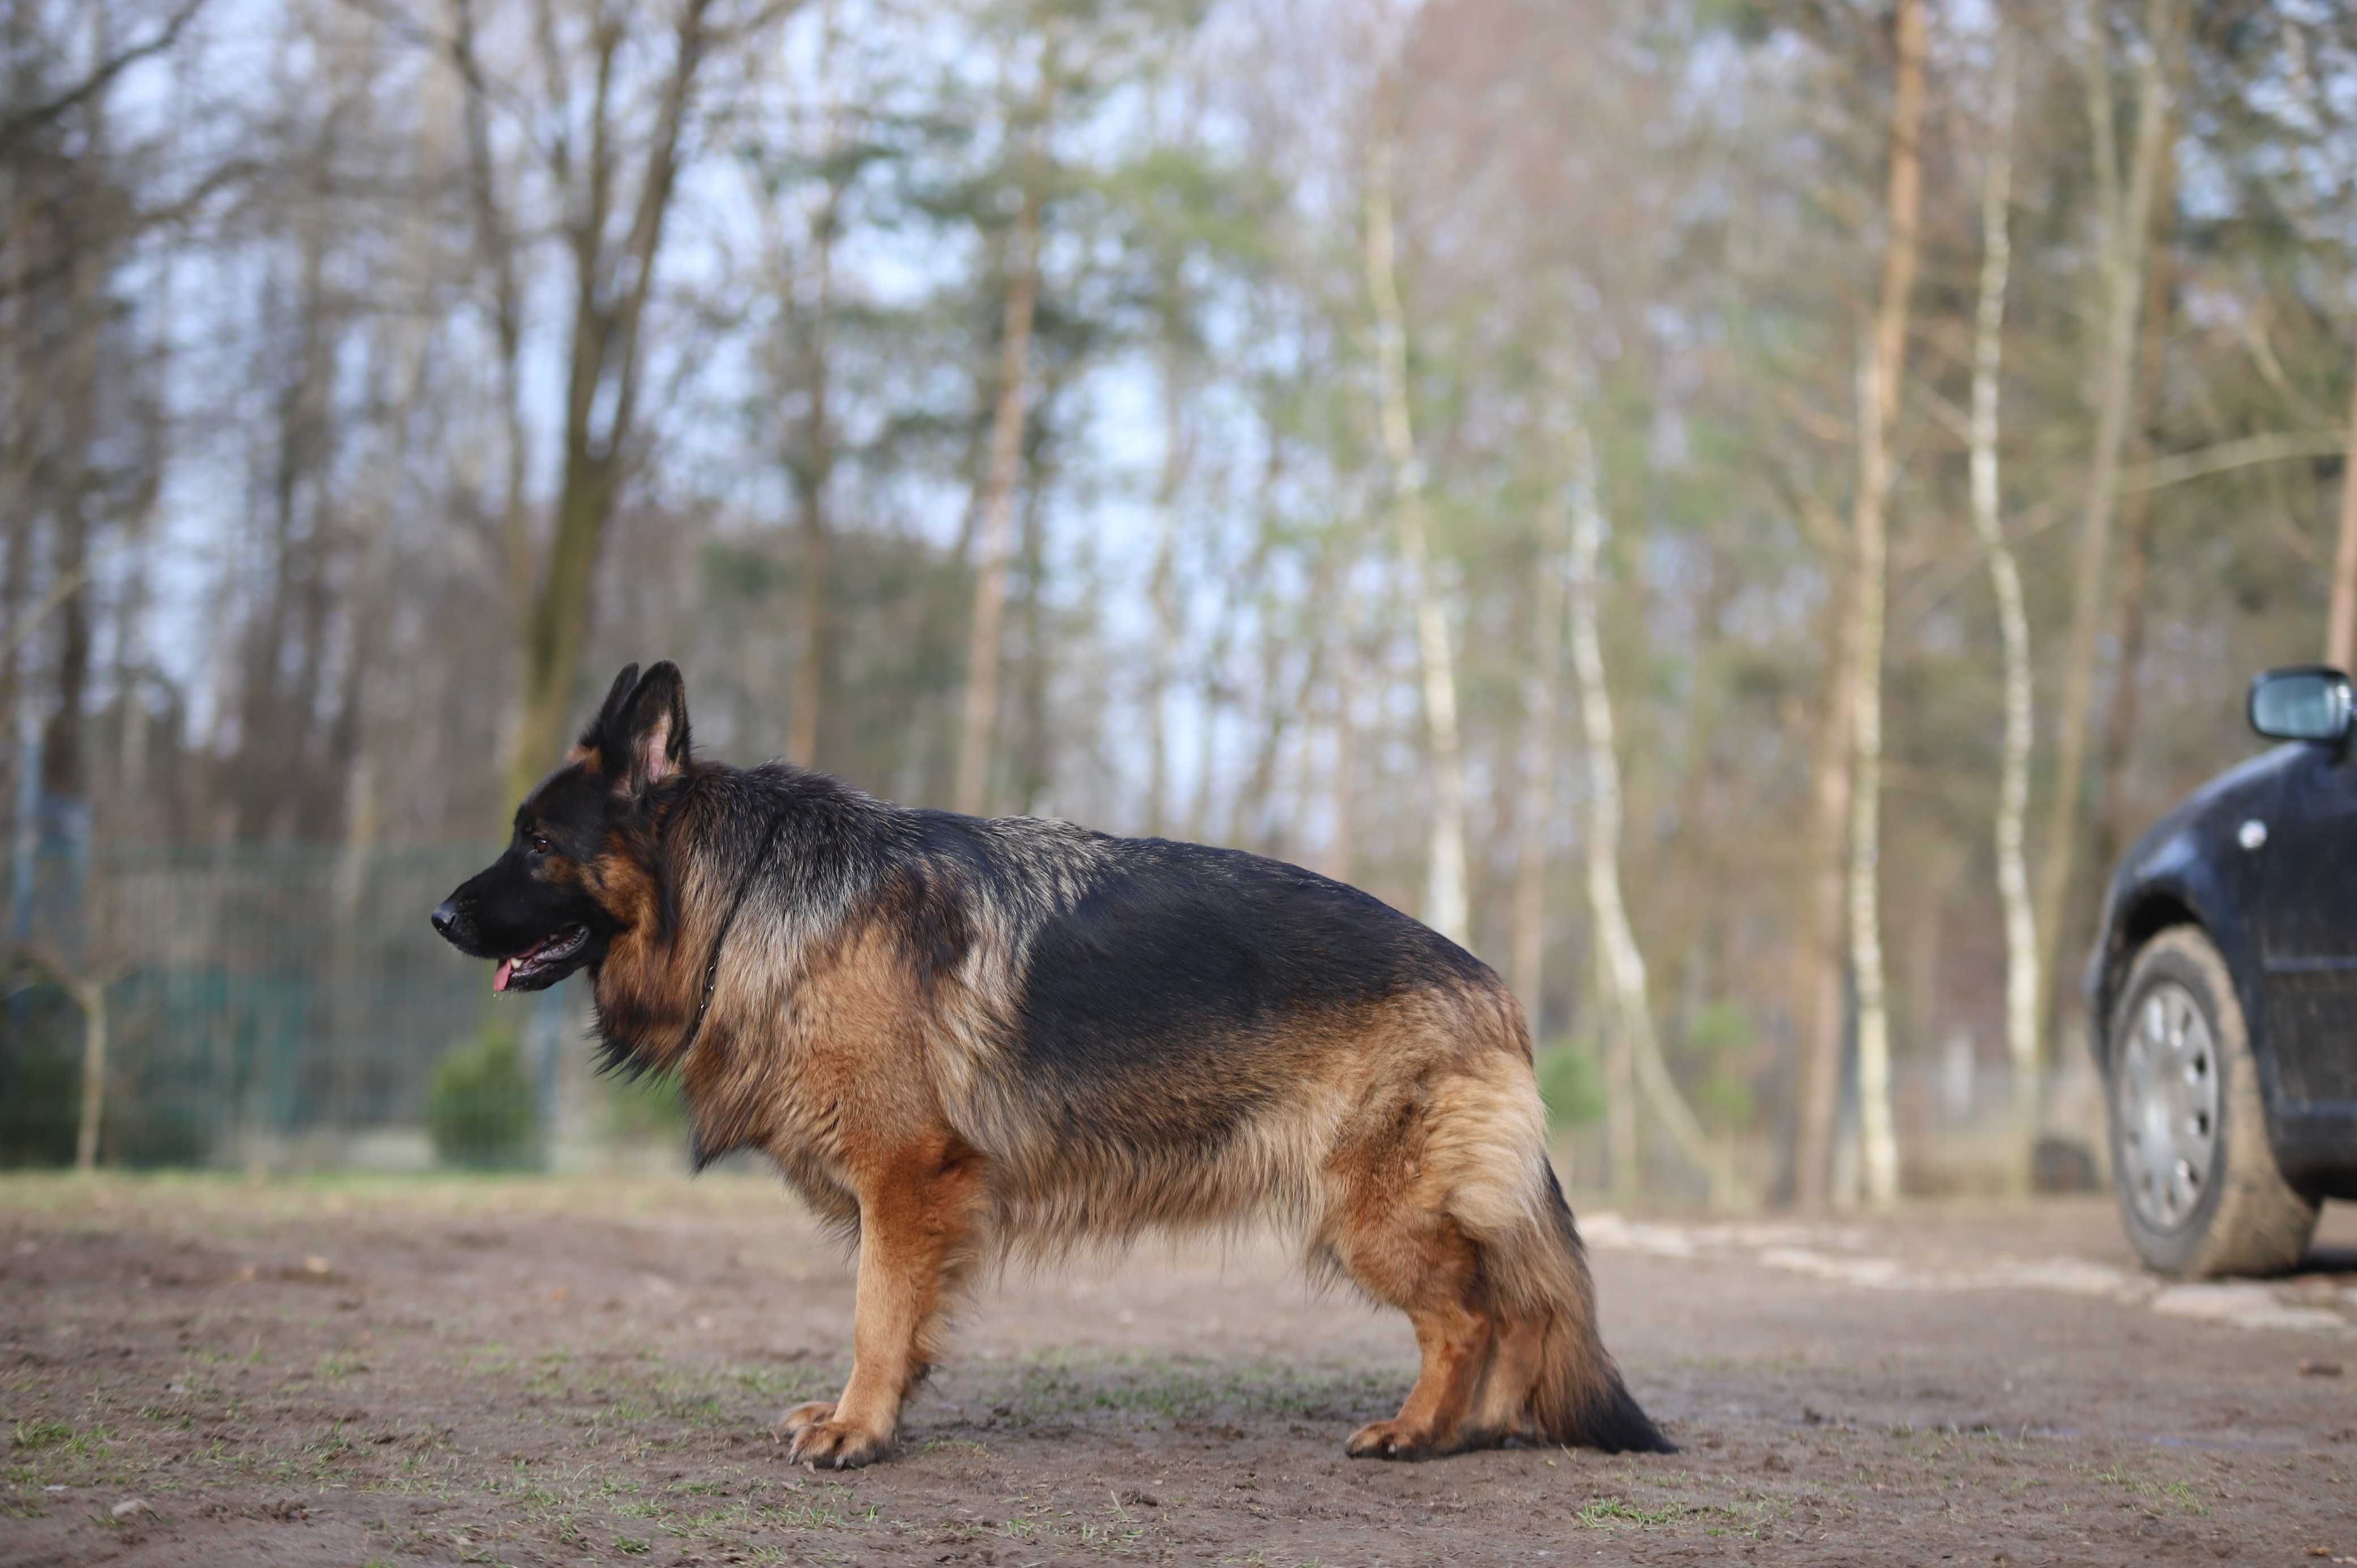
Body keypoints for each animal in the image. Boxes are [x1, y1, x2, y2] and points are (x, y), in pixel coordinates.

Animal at [429, 664, 1678, 1471]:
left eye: (537, 842)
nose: (439, 918)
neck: (745, 898)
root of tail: (1491, 984)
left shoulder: (906, 1179)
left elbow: (875, 1314)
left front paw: (860, 1429)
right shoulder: (913, 1198)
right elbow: (908, 1323)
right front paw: (888, 1415)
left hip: (1370, 1213)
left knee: (1471, 1310)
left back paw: (1423, 1430)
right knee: (1511, 1306)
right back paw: (1483, 1427)